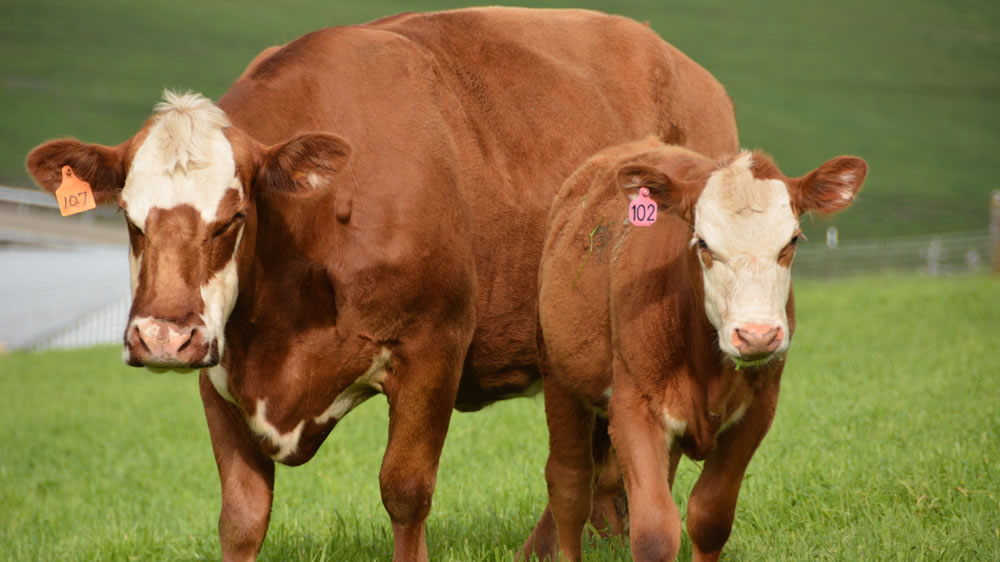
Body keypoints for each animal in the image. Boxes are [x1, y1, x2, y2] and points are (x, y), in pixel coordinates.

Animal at [532, 137, 868, 560]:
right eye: (703, 243)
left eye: (790, 242)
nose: (757, 335)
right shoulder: (632, 409)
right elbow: (654, 531)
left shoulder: (757, 410)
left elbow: (709, 517)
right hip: (559, 381)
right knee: (569, 489)